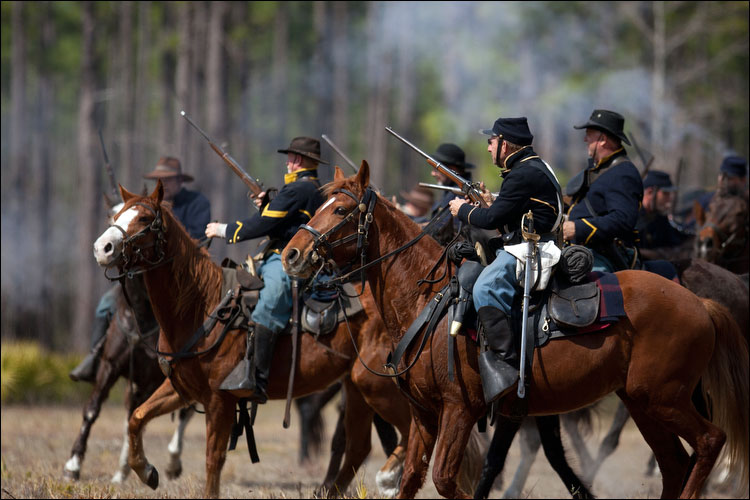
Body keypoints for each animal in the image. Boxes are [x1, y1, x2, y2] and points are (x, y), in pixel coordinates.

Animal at [91, 182, 432, 498]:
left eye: (145, 218)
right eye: (116, 216)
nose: (102, 247)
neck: (201, 306)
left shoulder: (220, 400)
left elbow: (213, 459)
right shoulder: (182, 389)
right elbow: (136, 418)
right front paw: (147, 471)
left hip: (376, 387)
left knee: (410, 433)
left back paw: (389, 477)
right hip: (356, 389)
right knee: (359, 447)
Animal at [284, 162, 750, 498]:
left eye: (340, 210)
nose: (292, 254)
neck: (427, 298)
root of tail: (701, 303)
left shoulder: (460, 410)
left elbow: (447, 479)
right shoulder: (424, 414)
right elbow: (412, 476)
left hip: (665, 399)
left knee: (709, 442)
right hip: (642, 402)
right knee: (675, 465)